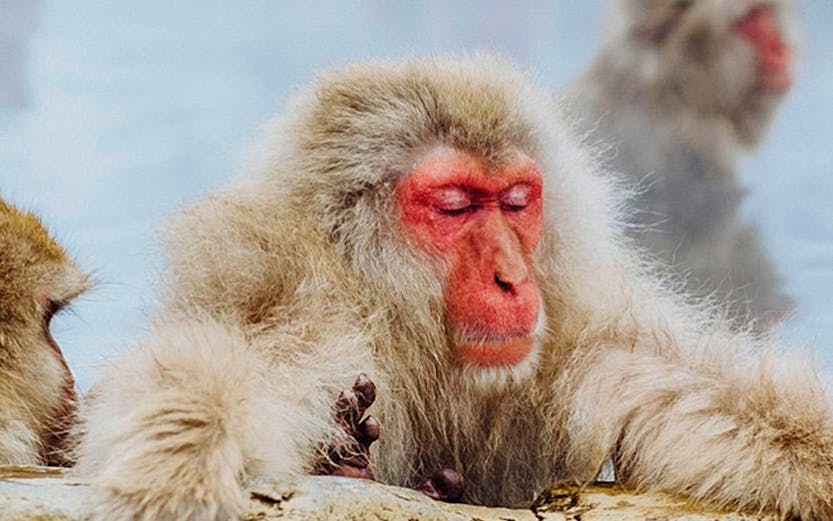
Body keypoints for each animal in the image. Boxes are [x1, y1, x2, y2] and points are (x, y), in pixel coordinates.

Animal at [74, 55, 833, 521]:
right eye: (456, 205)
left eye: (517, 200)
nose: (511, 277)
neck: (408, 328)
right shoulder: (295, 298)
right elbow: (215, 376)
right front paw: (179, 466)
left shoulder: (581, 331)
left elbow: (719, 402)